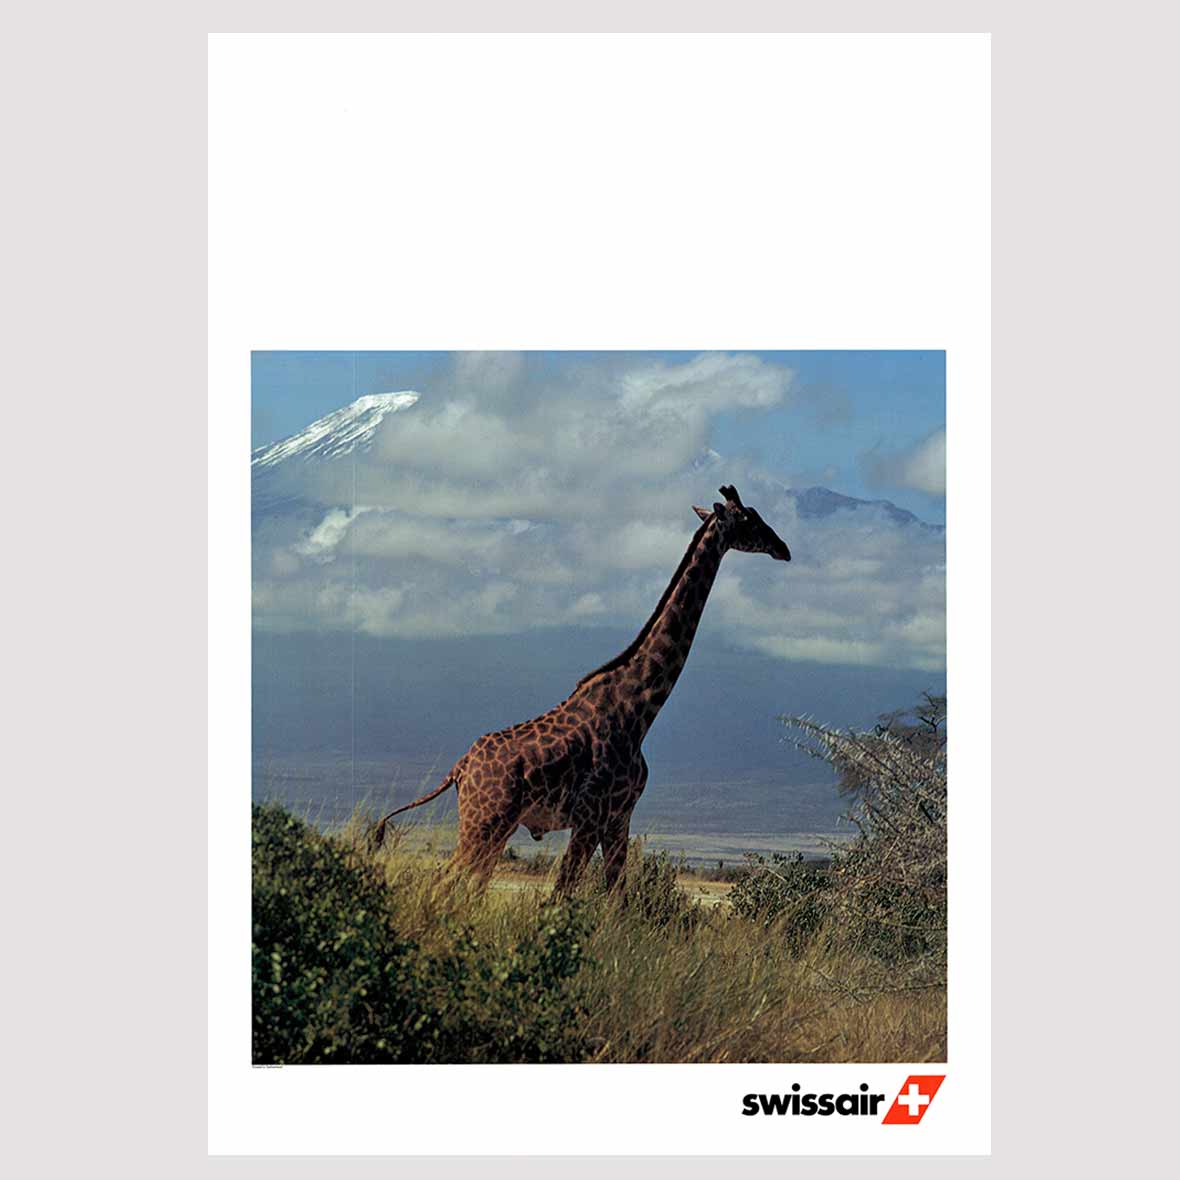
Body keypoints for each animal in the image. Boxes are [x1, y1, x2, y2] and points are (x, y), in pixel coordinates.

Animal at [372, 485, 792, 894]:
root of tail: (459, 768)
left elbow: (615, 896)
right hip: (484, 822)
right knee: (445, 880)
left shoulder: (619, 816)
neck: (638, 708)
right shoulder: (592, 815)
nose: (783, 548)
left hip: (498, 827)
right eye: (748, 518)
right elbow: (562, 895)